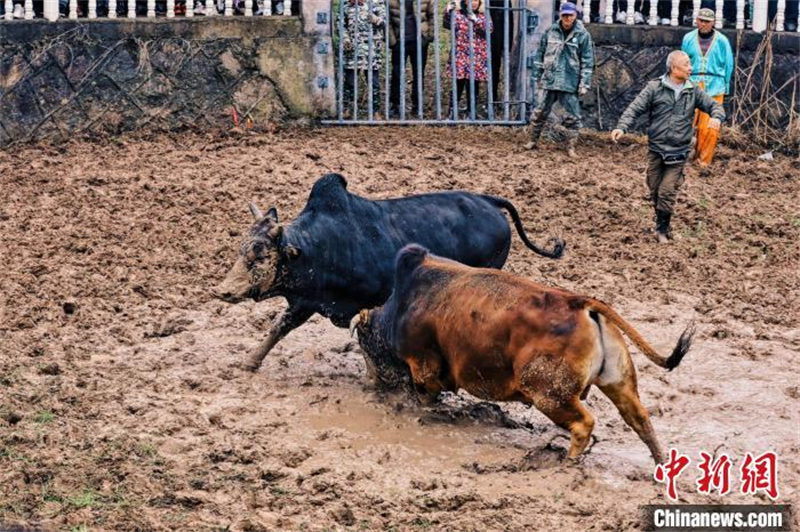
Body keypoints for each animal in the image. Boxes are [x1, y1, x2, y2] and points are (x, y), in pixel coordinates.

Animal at [212, 175, 564, 370]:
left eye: (260, 256)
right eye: (241, 249)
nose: (222, 290)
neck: (323, 245)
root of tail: (488, 201)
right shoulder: (305, 301)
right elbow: (279, 328)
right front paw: (250, 362)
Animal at [350, 244, 692, 462]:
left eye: (365, 347)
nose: (370, 383)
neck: (403, 306)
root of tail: (581, 304)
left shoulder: (425, 368)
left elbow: (424, 394)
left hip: (549, 394)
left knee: (584, 424)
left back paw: (568, 464)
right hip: (618, 383)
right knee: (640, 419)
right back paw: (660, 465)